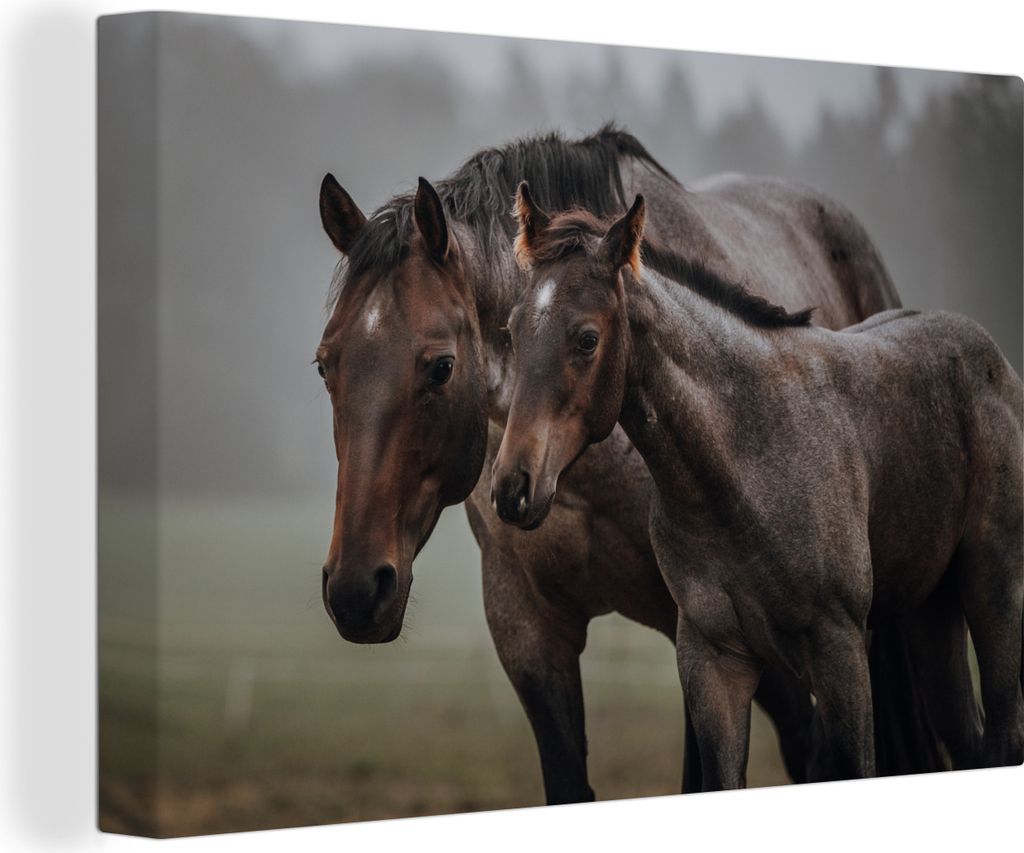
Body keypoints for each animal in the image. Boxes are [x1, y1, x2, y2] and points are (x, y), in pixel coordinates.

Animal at [313, 125, 939, 802]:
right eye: (324, 364)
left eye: (440, 366)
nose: (355, 591)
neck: (583, 467)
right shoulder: (528, 630)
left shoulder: (701, 628)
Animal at [491, 187, 1024, 788]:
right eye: (512, 330)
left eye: (587, 339)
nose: (513, 486)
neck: (741, 465)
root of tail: (992, 357)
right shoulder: (714, 662)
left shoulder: (841, 651)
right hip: (932, 612)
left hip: (992, 588)